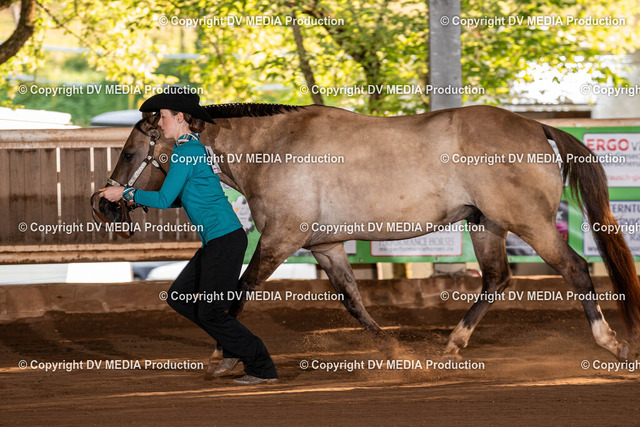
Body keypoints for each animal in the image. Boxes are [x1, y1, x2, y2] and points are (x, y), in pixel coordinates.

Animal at [96, 103, 640, 366]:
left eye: (129, 152)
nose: (103, 204)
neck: (276, 146)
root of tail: (535, 126)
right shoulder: (325, 247)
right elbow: (355, 304)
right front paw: (395, 352)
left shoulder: (281, 240)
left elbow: (240, 291)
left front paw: (222, 351)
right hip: (485, 224)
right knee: (496, 279)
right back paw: (451, 345)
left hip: (529, 223)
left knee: (576, 269)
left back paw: (611, 344)